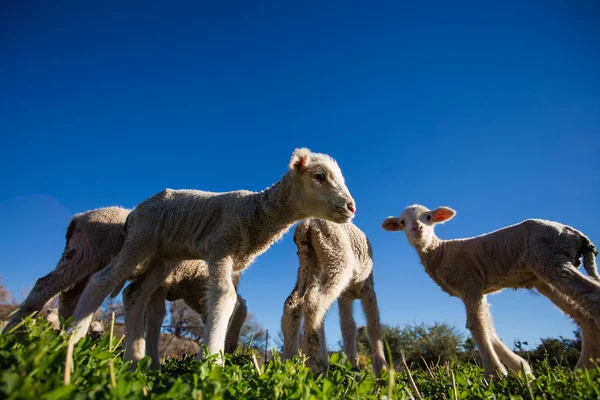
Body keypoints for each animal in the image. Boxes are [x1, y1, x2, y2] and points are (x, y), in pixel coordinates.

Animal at [68, 148, 356, 364]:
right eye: (319, 176)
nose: (351, 207)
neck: (254, 214)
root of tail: (134, 213)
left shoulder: (233, 261)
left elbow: (234, 302)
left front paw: (214, 352)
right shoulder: (221, 244)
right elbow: (225, 297)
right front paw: (212, 361)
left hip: (162, 258)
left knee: (133, 294)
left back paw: (135, 363)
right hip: (141, 239)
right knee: (101, 280)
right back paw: (70, 341)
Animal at [282, 217, 390, 376]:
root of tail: (307, 223)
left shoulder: (344, 297)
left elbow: (348, 327)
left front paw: (353, 372)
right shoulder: (368, 289)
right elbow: (374, 327)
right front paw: (382, 371)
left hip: (308, 260)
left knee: (293, 303)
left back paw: (289, 363)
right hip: (336, 254)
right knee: (315, 302)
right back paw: (317, 365)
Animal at [384, 205, 600, 376]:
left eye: (428, 217)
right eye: (402, 222)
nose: (417, 228)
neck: (440, 252)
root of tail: (577, 235)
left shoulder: (469, 282)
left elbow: (476, 325)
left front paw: (495, 374)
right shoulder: (477, 288)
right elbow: (488, 326)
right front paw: (520, 369)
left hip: (547, 258)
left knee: (593, 297)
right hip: (543, 275)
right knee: (584, 317)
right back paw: (582, 372)